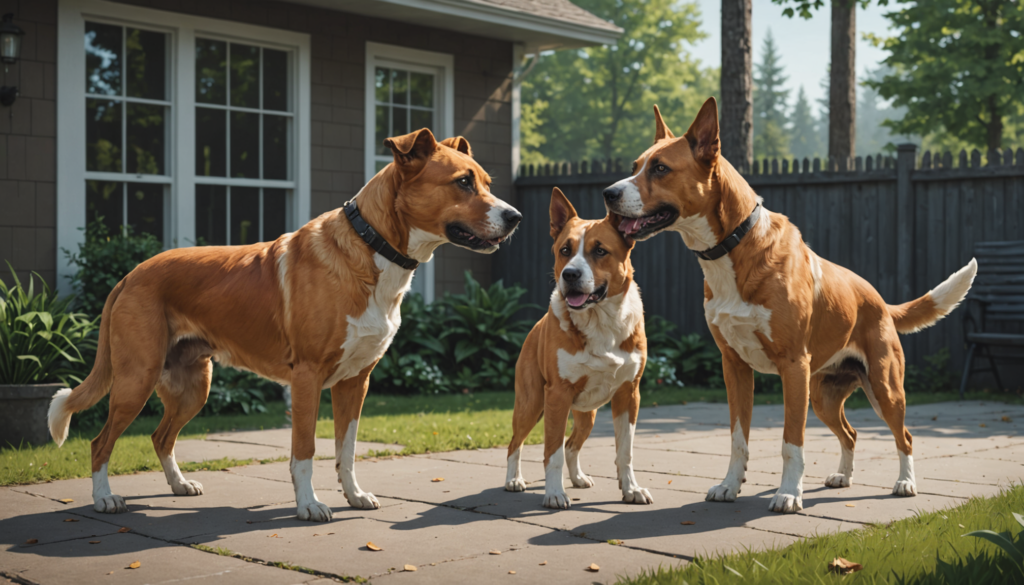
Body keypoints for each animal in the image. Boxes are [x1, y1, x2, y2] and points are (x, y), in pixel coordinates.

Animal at [47, 130, 520, 524]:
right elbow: (305, 450)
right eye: (462, 182)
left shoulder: (355, 383)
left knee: (161, 437)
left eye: (487, 183)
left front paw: (353, 496)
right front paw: (309, 506)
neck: (372, 247)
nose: (514, 216)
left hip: (192, 387)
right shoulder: (307, 379)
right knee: (101, 442)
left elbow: (346, 450)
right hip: (136, 378)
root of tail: (131, 275)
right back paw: (105, 498)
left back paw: (179, 485)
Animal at [505, 187, 655, 508]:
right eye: (565, 250)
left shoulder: (629, 394)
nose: (570, 275)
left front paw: (631, 489)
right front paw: (554, 493)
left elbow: (624, 451)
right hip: (531, 403)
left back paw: (577, 478)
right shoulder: (557, 395)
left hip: (588, 414)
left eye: (600, 251)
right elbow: (551, 452)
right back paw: (513, 480)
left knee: (572, 444)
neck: (600, 321)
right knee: (516, 442)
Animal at [602, 98, 978, 514]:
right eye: (635, 165)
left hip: (883, 389)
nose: (608, 193)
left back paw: (905, 482)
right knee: (851, 433)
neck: (733, 247)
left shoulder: (793, 368)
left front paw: (788, 493)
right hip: (823, 397)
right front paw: (730, 486)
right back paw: (843, 476)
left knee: (905, 436)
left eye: (660, 168)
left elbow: (791, 442)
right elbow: (738, 439)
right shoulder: (734, 367)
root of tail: (879, 301)